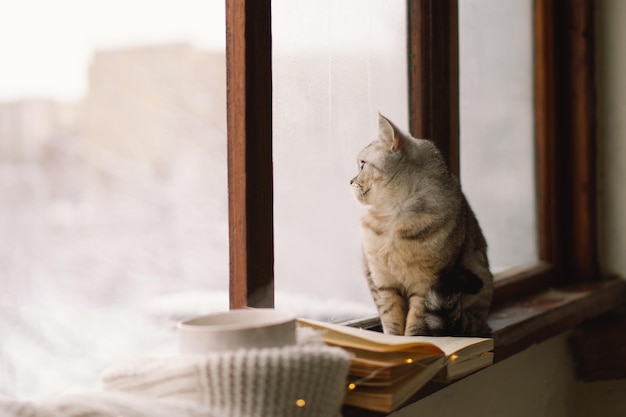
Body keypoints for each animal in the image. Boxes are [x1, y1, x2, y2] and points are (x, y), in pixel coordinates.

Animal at [348, 115, 490, 336]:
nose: (350, 181)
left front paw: (412, 339)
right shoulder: (381, 281)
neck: (394, 219)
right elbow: (391, 319)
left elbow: (416, 322)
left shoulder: (427, 284)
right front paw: (394, 340)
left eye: (362, 164)